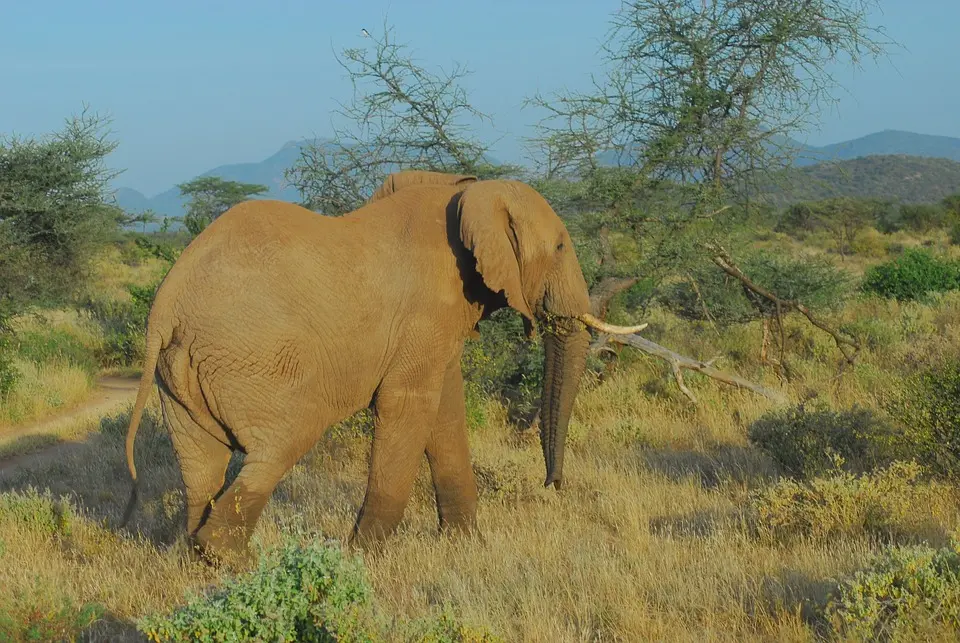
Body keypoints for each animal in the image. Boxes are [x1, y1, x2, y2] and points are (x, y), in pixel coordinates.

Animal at [122, 172, 644, 564]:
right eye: (560, 248)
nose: (552, 484)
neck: (468, 192)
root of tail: (164, 306)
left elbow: (445, 410)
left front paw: (464, 548)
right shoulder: (426, 310)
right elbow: (408, 405)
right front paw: (364, 557)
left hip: (182, 373)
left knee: (202, 466)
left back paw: (199, 558)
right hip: (252, 357)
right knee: (282, 444)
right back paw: (239, 564)